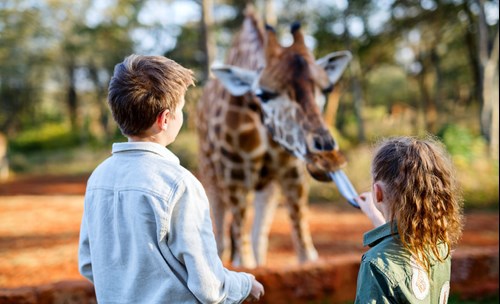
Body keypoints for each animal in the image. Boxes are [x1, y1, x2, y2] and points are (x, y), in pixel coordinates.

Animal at [197, 8, 354, 268]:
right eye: (263, 94)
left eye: (327, 89)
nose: (326, 155)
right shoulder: (234, 176)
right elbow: (244, 261)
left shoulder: (292, 173)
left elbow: (306, 254)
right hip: (211, 174)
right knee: (222, 239)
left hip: (267, 185)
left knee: (258, 238)